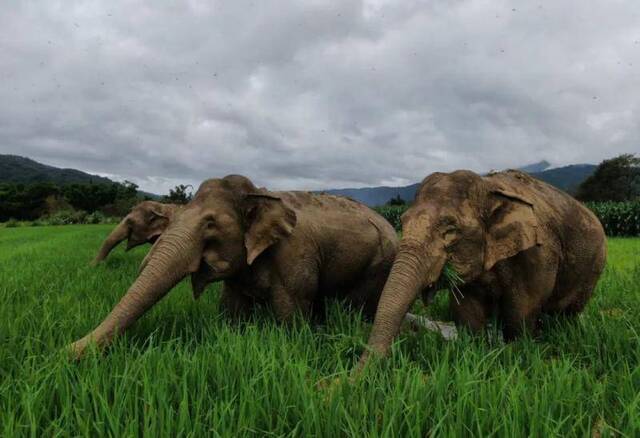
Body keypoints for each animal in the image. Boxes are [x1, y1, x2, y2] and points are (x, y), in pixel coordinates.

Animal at [69, 173, 396, 358]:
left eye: (210, 224)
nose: (65, 350)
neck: (259, 194)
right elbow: (231, 310)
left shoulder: (294, 256)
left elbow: (291, 316)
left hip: (379, 264)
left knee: (357, 306)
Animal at [360, 169, 604, 368]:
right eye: (402, 221)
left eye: (450, 230)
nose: (354, 380)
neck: (489, 187)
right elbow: (468, 312)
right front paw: (476, 353)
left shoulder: (538, 253)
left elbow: (521, 312)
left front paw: (516, 354)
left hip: (592, 268)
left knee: (567, 313)